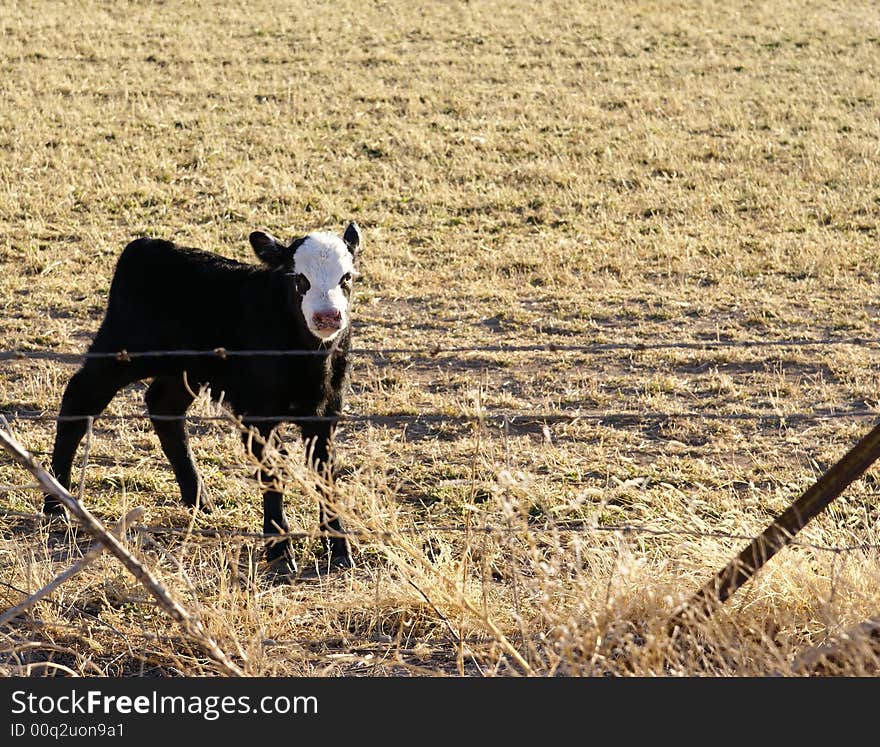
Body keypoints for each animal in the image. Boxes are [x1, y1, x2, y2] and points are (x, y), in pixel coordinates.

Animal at [43, 222, 360, 572]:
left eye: (346, 277)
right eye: (299, 278)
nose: (328, 316)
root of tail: (147, 245)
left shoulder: (325, 412)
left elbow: (325, 473)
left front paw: (339, 547)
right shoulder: (257, 413)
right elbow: (272, 473)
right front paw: (280, 552)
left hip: (185, 370)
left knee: (164, 407)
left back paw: (198, 498)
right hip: (121, 350)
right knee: (79, 399)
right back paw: (55, 503)